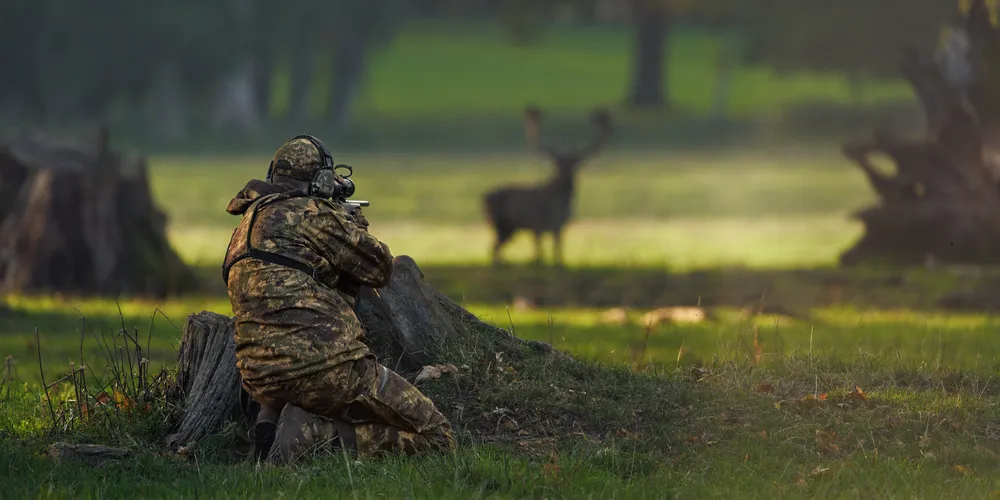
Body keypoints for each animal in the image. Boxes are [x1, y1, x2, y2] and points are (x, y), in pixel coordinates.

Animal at [482, 105, 612, 266]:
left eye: (575, 166)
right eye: (557, 165)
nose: (565, 180)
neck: (556, 207)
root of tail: (483, 197)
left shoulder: (560, 227)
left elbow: (558, 254)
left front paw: (559, 263)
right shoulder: (536, 224)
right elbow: (540, 255)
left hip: (510, 228)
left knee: (495, 247)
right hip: (498, 223)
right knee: (494, 248)